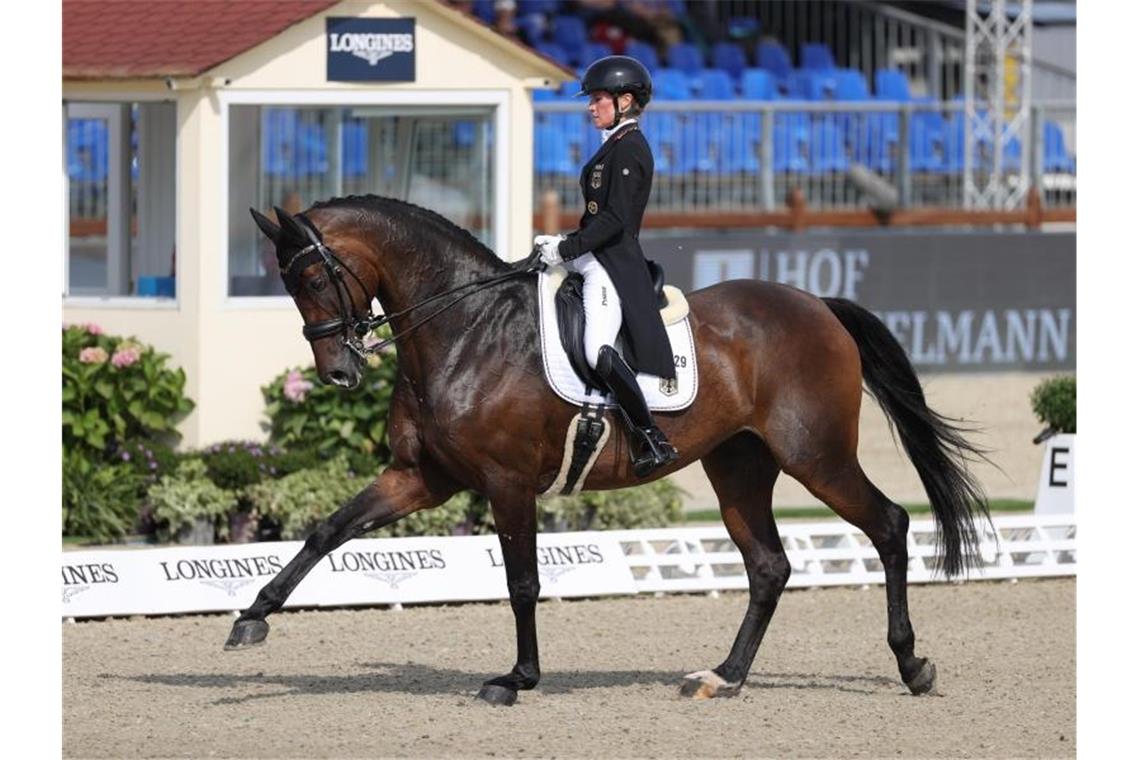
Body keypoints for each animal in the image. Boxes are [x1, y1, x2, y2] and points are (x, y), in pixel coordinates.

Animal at [224, 195, 989, 706]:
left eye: (314, 279)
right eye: (286, 283)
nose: (338, 373)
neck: (464, 329)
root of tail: (818, 305)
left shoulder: (506, 483)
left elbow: (523, 583)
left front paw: (517, 680)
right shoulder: (420, 477)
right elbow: (328, 529)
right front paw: (251, 618)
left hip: (817, 457)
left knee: (889, 525)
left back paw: (913, 667)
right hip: (739, 468)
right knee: (770, 567)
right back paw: (724, 677)